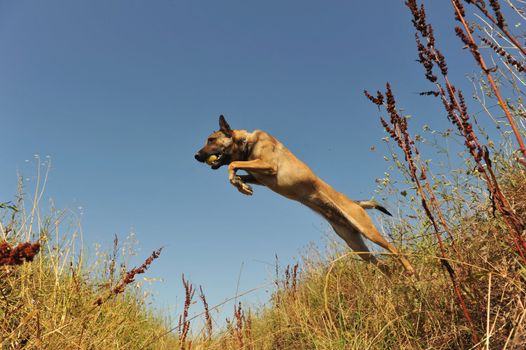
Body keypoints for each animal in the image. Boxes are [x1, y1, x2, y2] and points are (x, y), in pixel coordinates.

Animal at [195, 115, 416, 274]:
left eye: (211, 140)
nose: (196, 156)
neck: (247, 142)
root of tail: (355, 203)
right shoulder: (260, 177)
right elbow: (237, 170)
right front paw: (240, 185)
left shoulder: (269, 166)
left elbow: (232, 164)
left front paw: (238, 183)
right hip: (357, 245)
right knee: (383, 266)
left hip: (367, 230)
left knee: (395, 250)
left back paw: (411, 271)